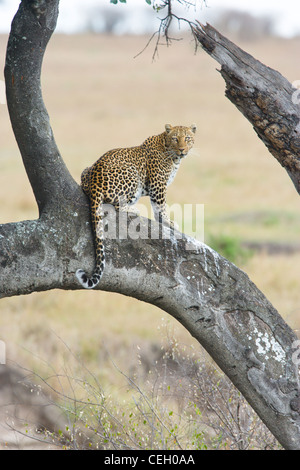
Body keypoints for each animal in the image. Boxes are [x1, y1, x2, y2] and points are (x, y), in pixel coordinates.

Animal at [75, 123, 197, 288]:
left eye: (187, 138)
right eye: (175, 139)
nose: (182, 149)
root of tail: (95, 180)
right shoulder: (158, 184)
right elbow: (161, 206)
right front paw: (167, 222)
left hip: (86, 170)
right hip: (132, 172)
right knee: (117, 205)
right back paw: (133, 209)